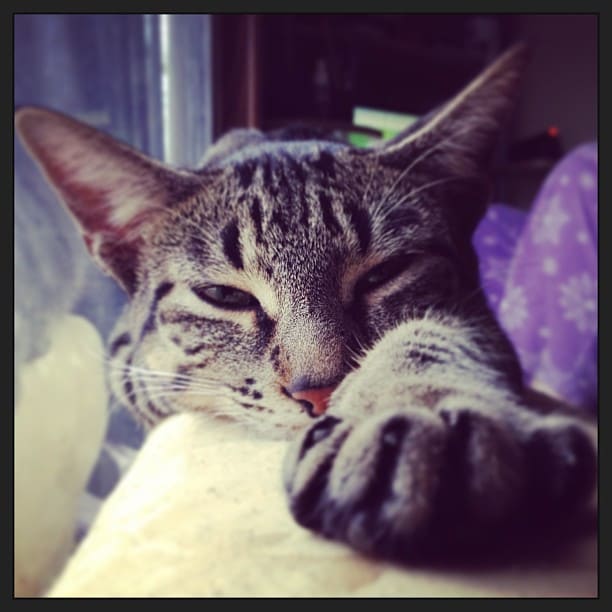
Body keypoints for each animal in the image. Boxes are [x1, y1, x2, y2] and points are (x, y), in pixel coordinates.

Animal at [16, 45, 596, 560]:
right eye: (224, 295)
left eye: (383, 273)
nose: (319, 392)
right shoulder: (130, 366)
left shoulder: (477, 313)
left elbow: (429, 334)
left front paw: (414, 406)